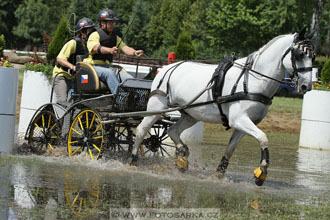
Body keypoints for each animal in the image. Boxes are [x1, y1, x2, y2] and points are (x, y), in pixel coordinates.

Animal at [131, 27, 314, 186]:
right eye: (299, 54)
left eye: (313, 56)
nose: (306, 86)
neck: (253, 80)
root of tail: (167, 67)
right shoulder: (239, 120)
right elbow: (263, 138)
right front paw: (262, 172)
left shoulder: (244, 124)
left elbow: (230, 149)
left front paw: (218, 174)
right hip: (157, 108)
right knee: (141, 131)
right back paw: (133, 161)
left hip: (191, 114)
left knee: (172, 131)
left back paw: (182, 157)